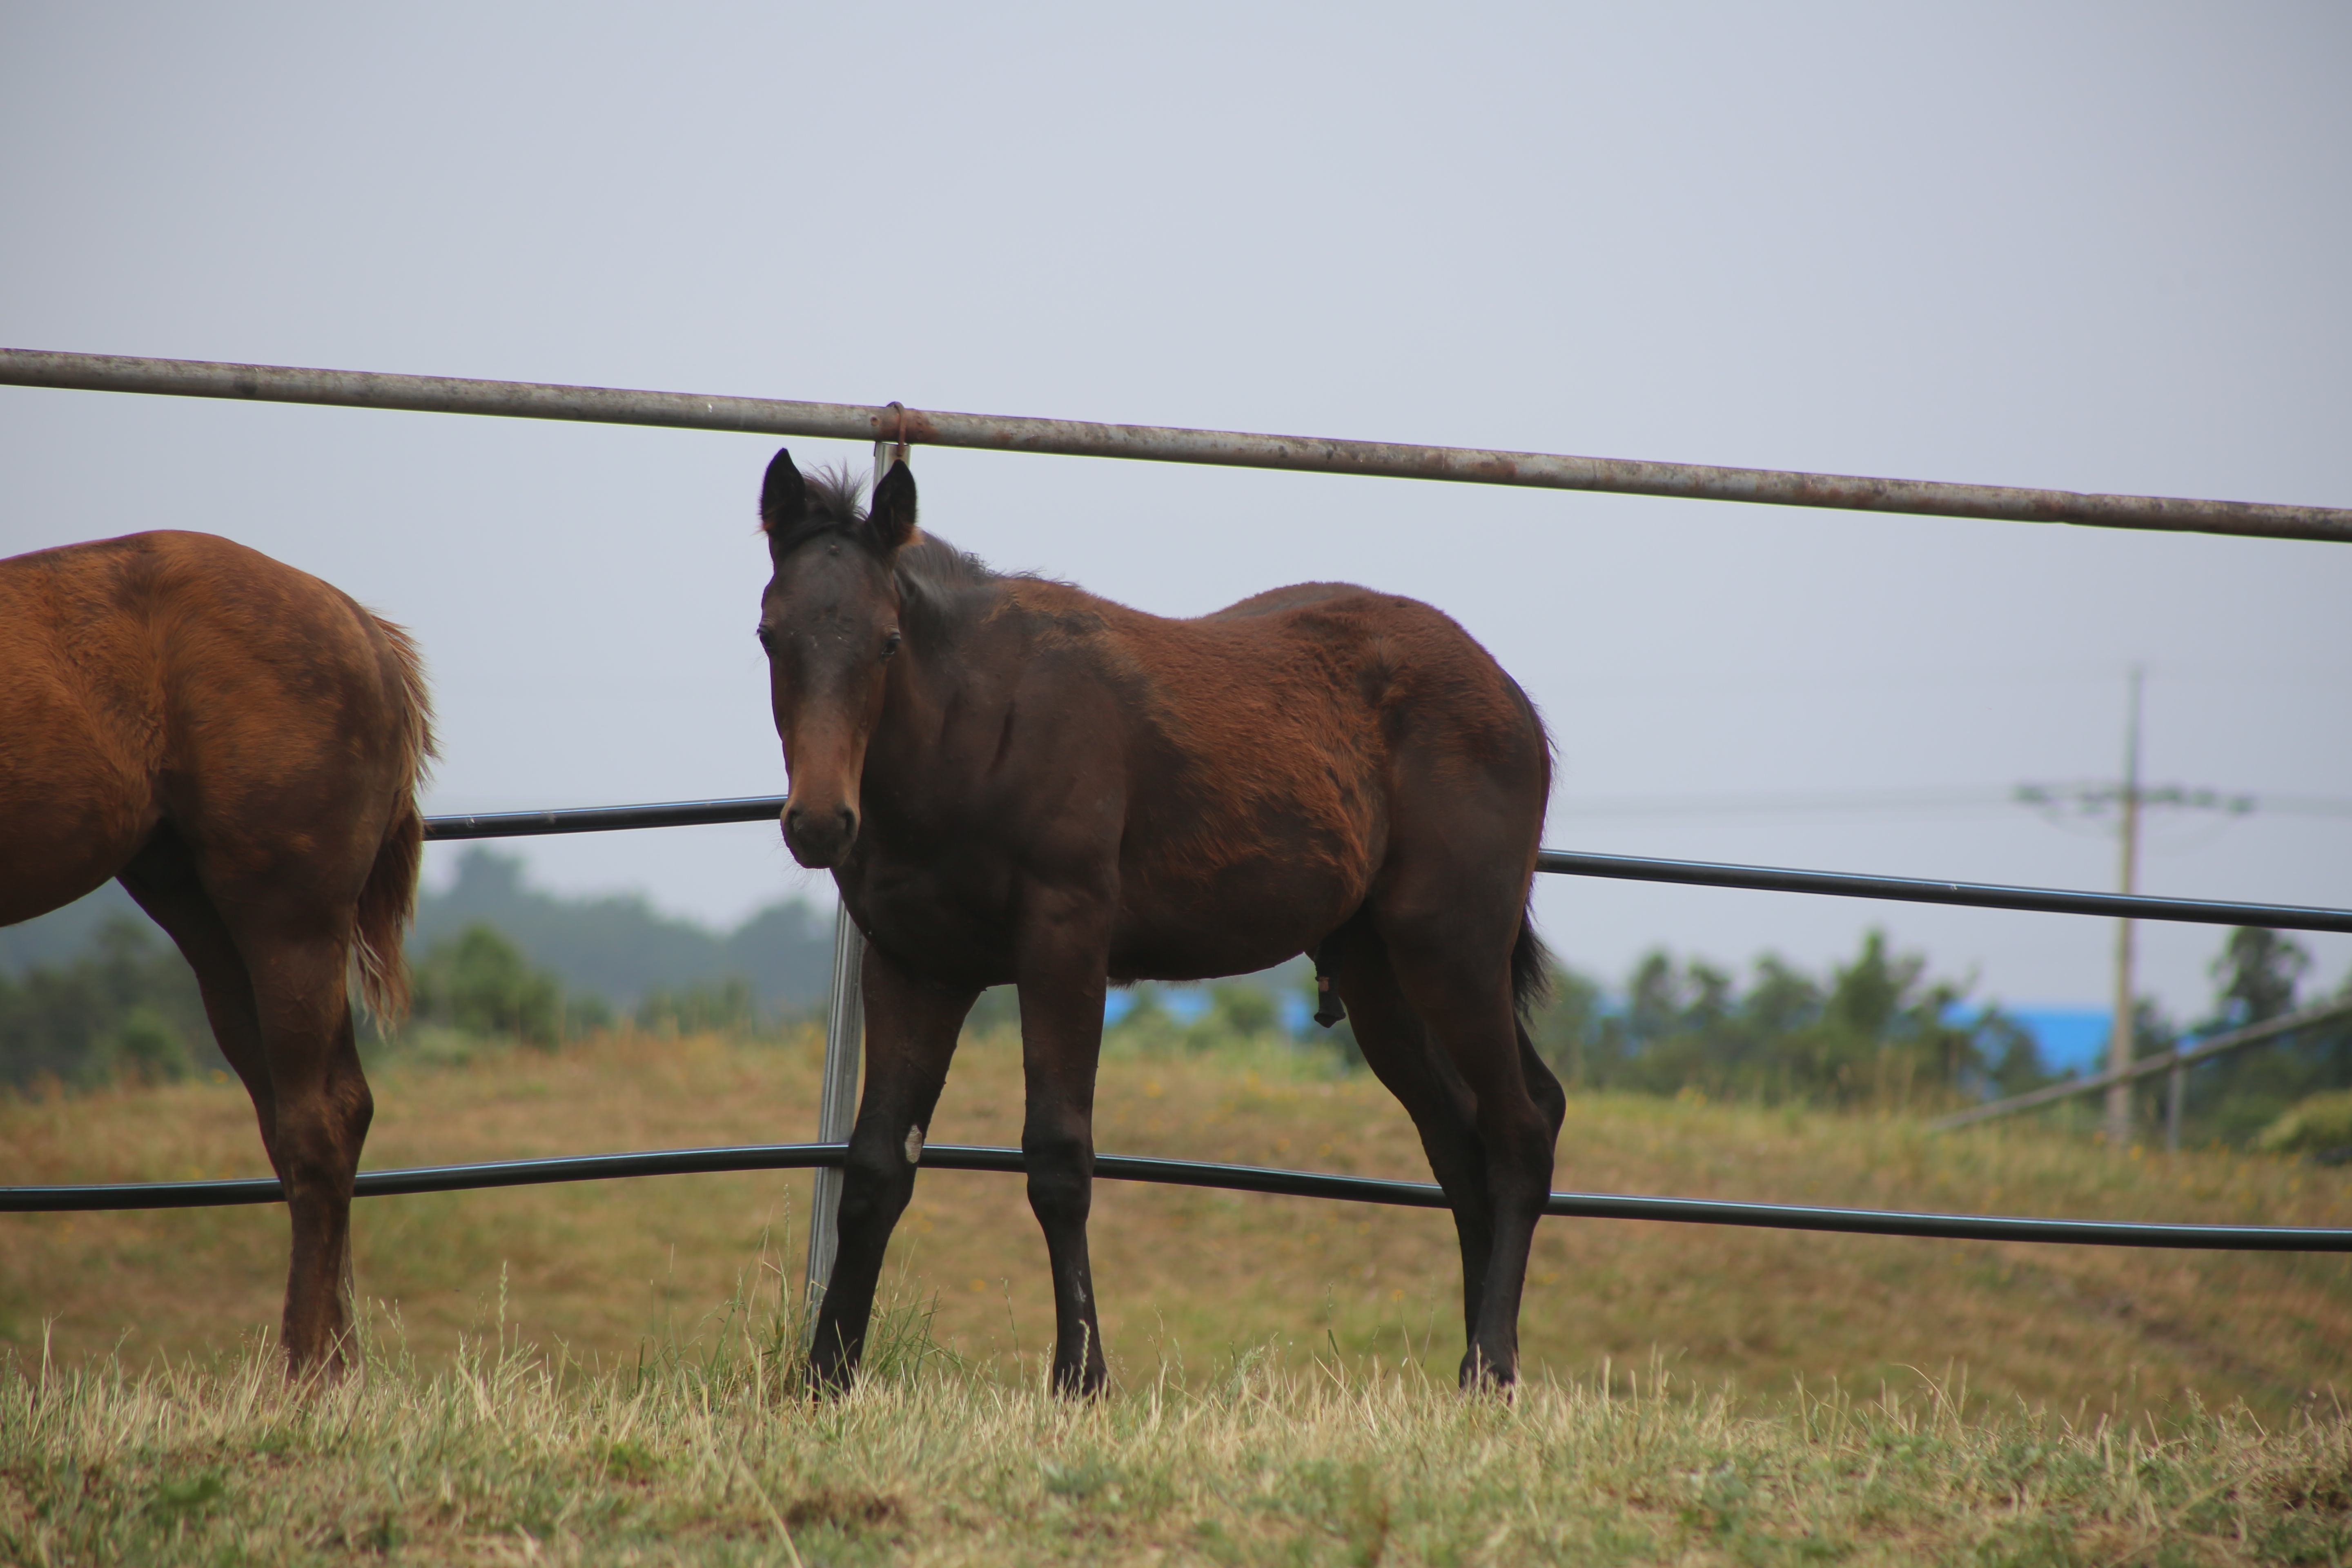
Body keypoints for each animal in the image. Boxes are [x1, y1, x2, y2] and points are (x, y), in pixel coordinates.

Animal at [2, 533, 435, 1382]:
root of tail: (364, 629)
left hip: (286, 918)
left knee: (318, 1121)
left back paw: (306, 1373)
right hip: (201, 911)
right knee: (306, 1117)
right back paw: (337, 1368)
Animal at [753, 454, 1561, 1401]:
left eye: (886, 641)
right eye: (770, 634)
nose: (819, 824)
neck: (975, 731)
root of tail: (1512, 699)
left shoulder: (1065, 940)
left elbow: (1058, 1157)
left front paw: (1081, 1376)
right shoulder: (915, 965)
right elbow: (878, 1164)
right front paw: (825, 1378)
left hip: (1452, 945)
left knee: (1521, 1130)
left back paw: (1493, 1363)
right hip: (1381, 976)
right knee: (1464, 1149)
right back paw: (1477, 1366)